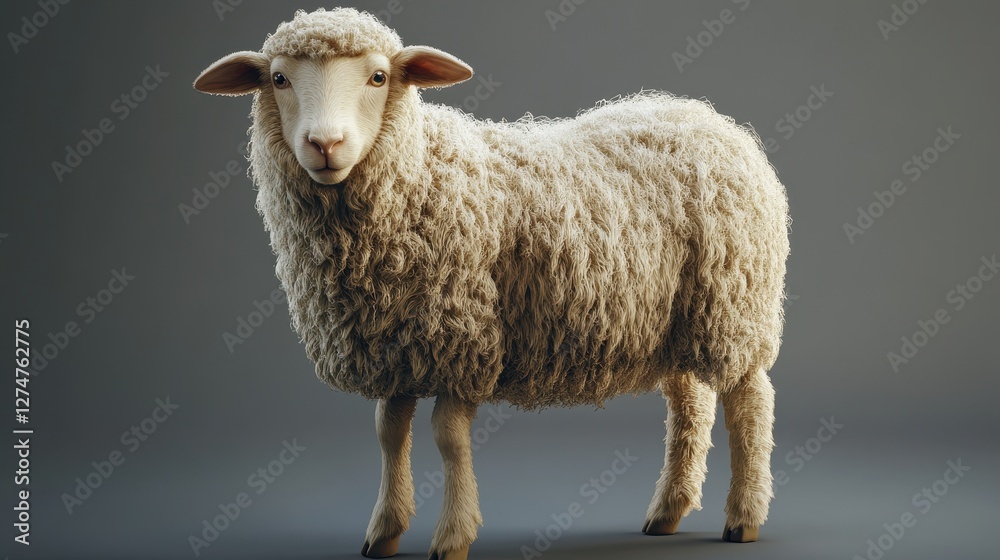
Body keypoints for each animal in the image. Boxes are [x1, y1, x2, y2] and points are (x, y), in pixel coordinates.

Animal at [194, 7, 790, 559]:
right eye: (278, 78)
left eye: (379, 77)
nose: (324, 144)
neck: (417, 172)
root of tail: (713, 121)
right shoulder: (397, 342)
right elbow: (389, 434)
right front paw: (384, 530)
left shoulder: (464, 338)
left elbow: (448, 439)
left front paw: (452, 536)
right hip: (677, 317)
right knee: (690, 404)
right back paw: (668, 510)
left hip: (733, 306)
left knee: (749, 404)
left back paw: (743, 517)